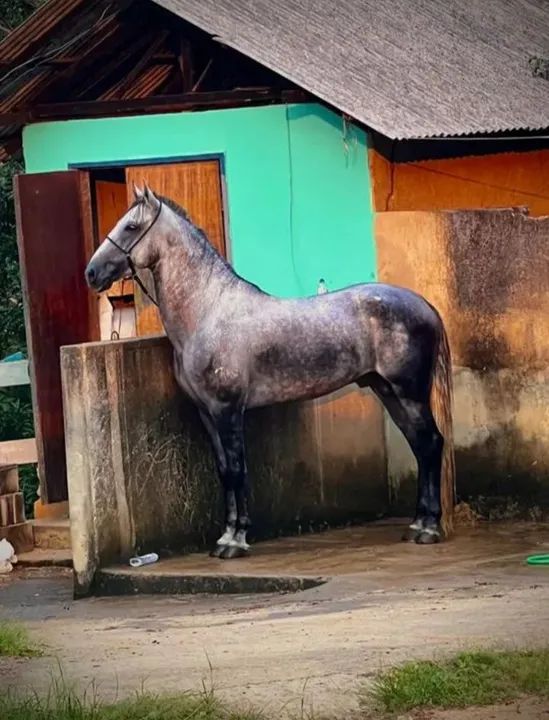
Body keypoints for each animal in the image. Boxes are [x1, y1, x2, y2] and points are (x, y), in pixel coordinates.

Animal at [85, 183, 455, 560]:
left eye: (131, 226)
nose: (92, 272)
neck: (208, 311)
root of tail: (424, 304)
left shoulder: (228, 409)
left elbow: (237, 470)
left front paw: (235, 541)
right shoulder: (207, 412)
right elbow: (224, 471)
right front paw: (225, 536)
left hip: (409, 394)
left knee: (431, 443)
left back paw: (428, 529)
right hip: (388, 392)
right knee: (420, 446)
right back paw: (417, 524)